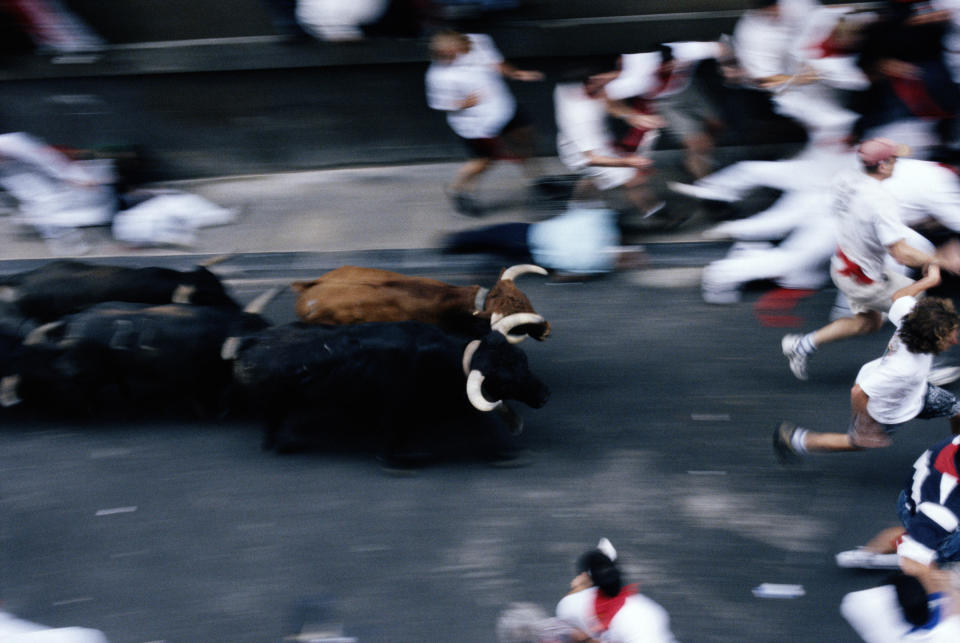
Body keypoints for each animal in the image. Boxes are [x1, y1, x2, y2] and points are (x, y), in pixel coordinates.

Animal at [228, 322, 552, 458]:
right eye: (505, 380)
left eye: (523, 359)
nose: (544, 395)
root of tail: (251, 341)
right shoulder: (396, 413)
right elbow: (395, 440)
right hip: (273, 407)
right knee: (271, 429)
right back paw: (284, 445)